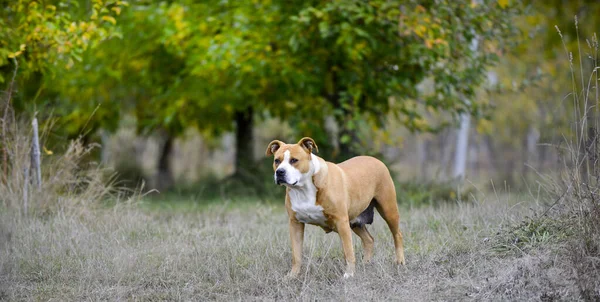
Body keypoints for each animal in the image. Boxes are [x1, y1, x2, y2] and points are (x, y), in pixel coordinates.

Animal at [264, 137, 406, 278]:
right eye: (277, 161)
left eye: (294, 160)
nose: (280, 172)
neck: (303, 188)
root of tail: (376, 160)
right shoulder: (295, 224)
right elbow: (296, 254)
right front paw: (292, 276)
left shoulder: (341, 222)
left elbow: (348, 251)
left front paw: (349, 274)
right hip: (355, 222)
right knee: (369, 240)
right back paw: (366, 263)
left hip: (388, 210)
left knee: (397, 234)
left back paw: (400, 262)